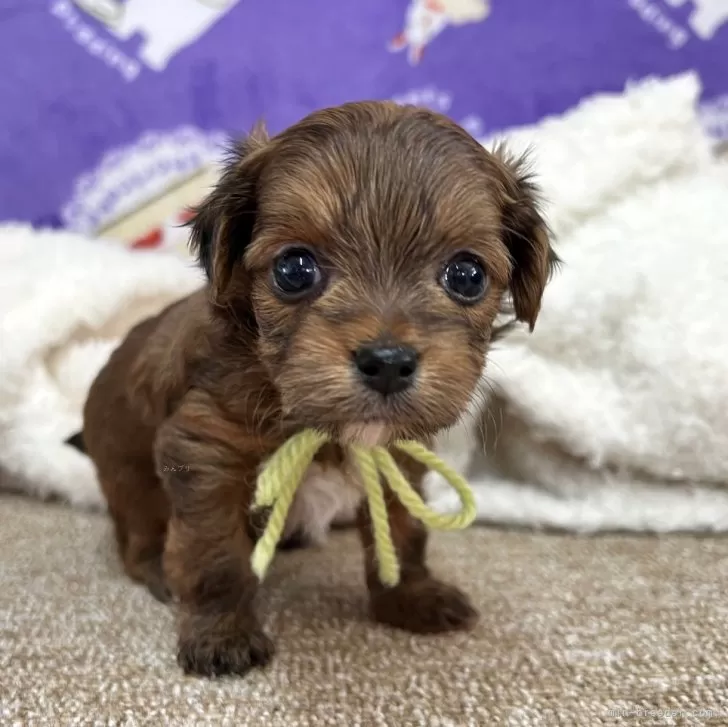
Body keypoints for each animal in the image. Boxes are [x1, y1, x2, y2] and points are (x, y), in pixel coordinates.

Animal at [79, 101, 556, 676]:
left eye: (466, 275)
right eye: (294, 269)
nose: (388, 363)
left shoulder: (396, 455)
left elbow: (403, 532)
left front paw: (410, 597)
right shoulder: (203, 450)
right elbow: (213, 555)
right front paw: (221, 633)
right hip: (125, 471)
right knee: (140, 526)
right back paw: (154, 566)